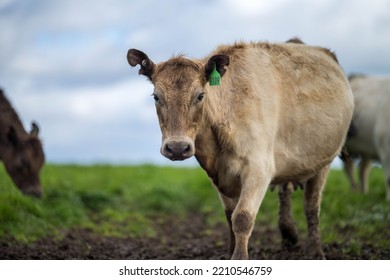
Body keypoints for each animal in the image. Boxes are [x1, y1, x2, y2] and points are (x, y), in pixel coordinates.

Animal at [128, 39, 354, 260]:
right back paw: (289, 238)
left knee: (311, 206)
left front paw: (239, 257)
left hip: (324, 161)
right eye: (156, 97)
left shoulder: (259, 168)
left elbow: (242, 217)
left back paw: (315, 250)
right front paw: (229, 253)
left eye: (200, 95)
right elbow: (229, 216)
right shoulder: (220, 175)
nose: (177, 148)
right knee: (286, 193)